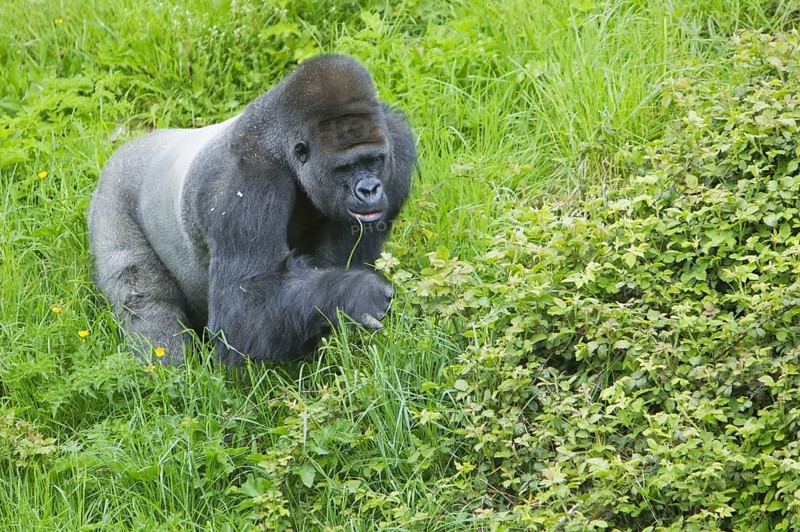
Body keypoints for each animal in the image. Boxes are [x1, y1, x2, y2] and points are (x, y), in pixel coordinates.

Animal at [88, 54, 415, 365]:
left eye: (373, 160)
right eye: (345, 168)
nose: (369, 189)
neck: (280, 144)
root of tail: (123, 149)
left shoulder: (397, 147)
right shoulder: (246, 179)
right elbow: (242, 310)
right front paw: (359, 294)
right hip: (112, 198)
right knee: (146, 301)